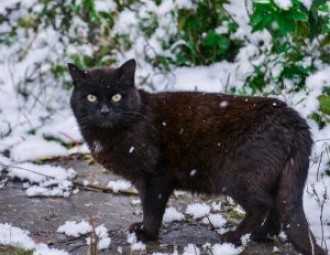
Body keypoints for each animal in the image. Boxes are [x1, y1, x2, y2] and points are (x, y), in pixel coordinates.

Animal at [69, 58, 324, 254]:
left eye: (117, 97)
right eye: (91, 97)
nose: (104, 111)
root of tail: (294, 119)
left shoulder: (154, 177)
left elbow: (151, 208)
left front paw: (146, 233)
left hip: (237, 177)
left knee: (263, 204)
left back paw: (234, 237)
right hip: (273, 177)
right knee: (278, 205)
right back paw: (261, 235)